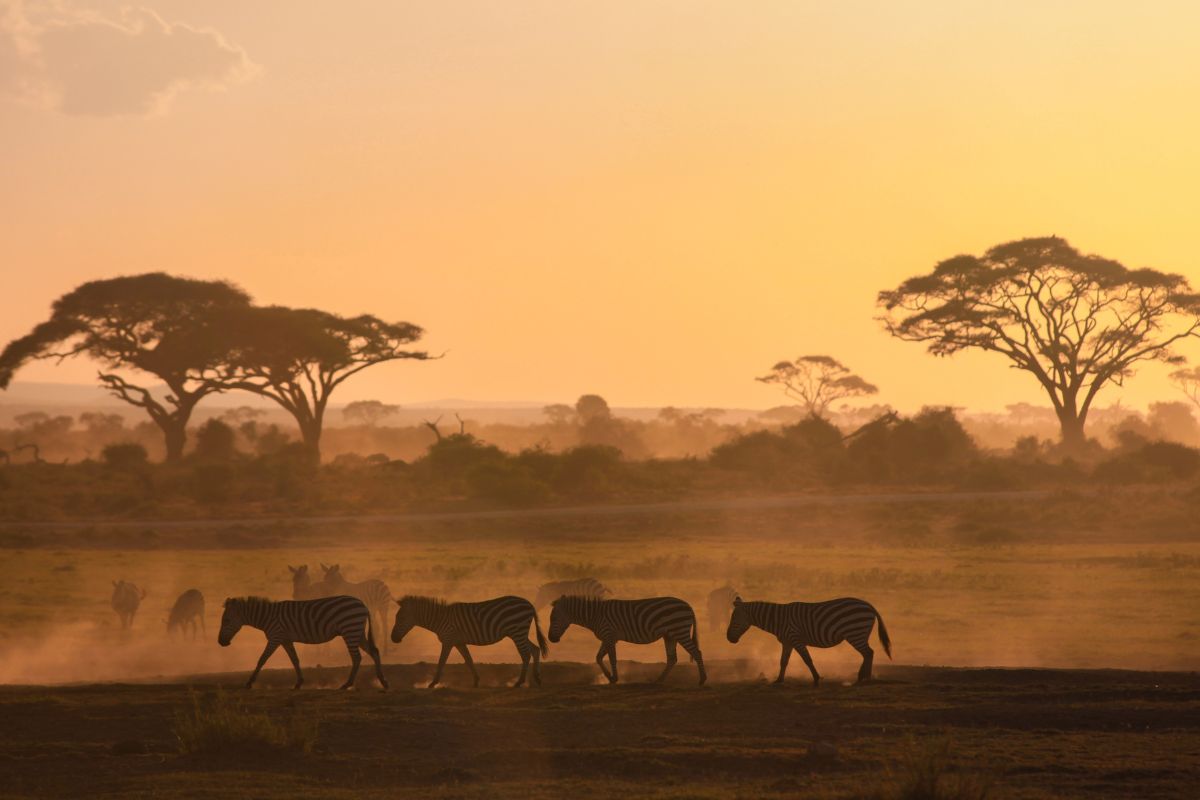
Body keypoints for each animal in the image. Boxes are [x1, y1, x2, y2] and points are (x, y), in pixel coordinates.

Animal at [214, 592, 384, 690]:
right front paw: (299, 683)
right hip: (357, 632)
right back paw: (383, 681)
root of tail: (363, 604)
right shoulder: (285, 639)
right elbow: (295, 660)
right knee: (374, 652)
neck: (267, 617)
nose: (221, 642)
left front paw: (249, 682)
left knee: (357, 657)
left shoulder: (275, 637)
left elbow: (262, 659)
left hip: (351, 630)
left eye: (226, 620)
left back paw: (347, 684)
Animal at [388, 594, 549, 690]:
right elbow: (469, 660)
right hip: (519, 632)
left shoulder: (448, 640)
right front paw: (476, 681)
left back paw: (519, 682)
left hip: (517, 631)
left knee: (526, 655)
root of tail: (528, 603)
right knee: (535, 649)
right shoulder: (459, 642)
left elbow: (441, 662)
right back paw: (537, 678)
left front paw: (433, 683)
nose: (393, 639)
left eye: (401, 618)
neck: (440, 619)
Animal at [547, 597, 700, 686]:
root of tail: (688, 606)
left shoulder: (609, 636)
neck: (594, 615)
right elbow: (598, 658)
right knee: (672, 658)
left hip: (679, 631)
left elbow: (612, 659)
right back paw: (659, 680)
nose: (551, 639)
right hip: (670, 635)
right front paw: (609, 677)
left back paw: (702, 679)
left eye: (553, 618)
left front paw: (615, 678)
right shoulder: (608, 638)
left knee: (696, 652)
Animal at [720, 597, 892, 686]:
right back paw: (863, 677)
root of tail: (869, 605)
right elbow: (783, 661)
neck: (778, 619)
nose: (729, 638)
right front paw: (779, 680)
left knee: (868, 653)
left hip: (855, 632)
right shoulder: (787, 642)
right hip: (858, 633)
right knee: (868, 653)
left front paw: (816, 679)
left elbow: (807, 659)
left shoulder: (796, 639)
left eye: (734, 619)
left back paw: (865, 678)